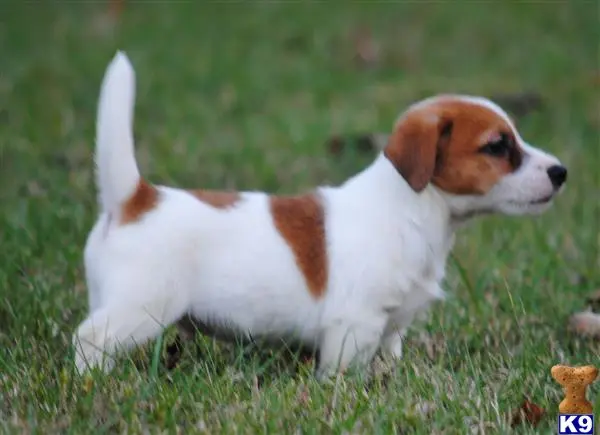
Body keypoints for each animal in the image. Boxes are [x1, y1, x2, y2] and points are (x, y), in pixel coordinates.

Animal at [71, 52, 568, 380]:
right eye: (497, 146)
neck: (412, 210)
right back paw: (90, 385)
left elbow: (389, 357)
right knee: (88, 340)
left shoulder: (390, 328)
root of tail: (136, 198)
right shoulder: (354, 325)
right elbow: (342, 376)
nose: (561, 172)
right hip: (141, 309)